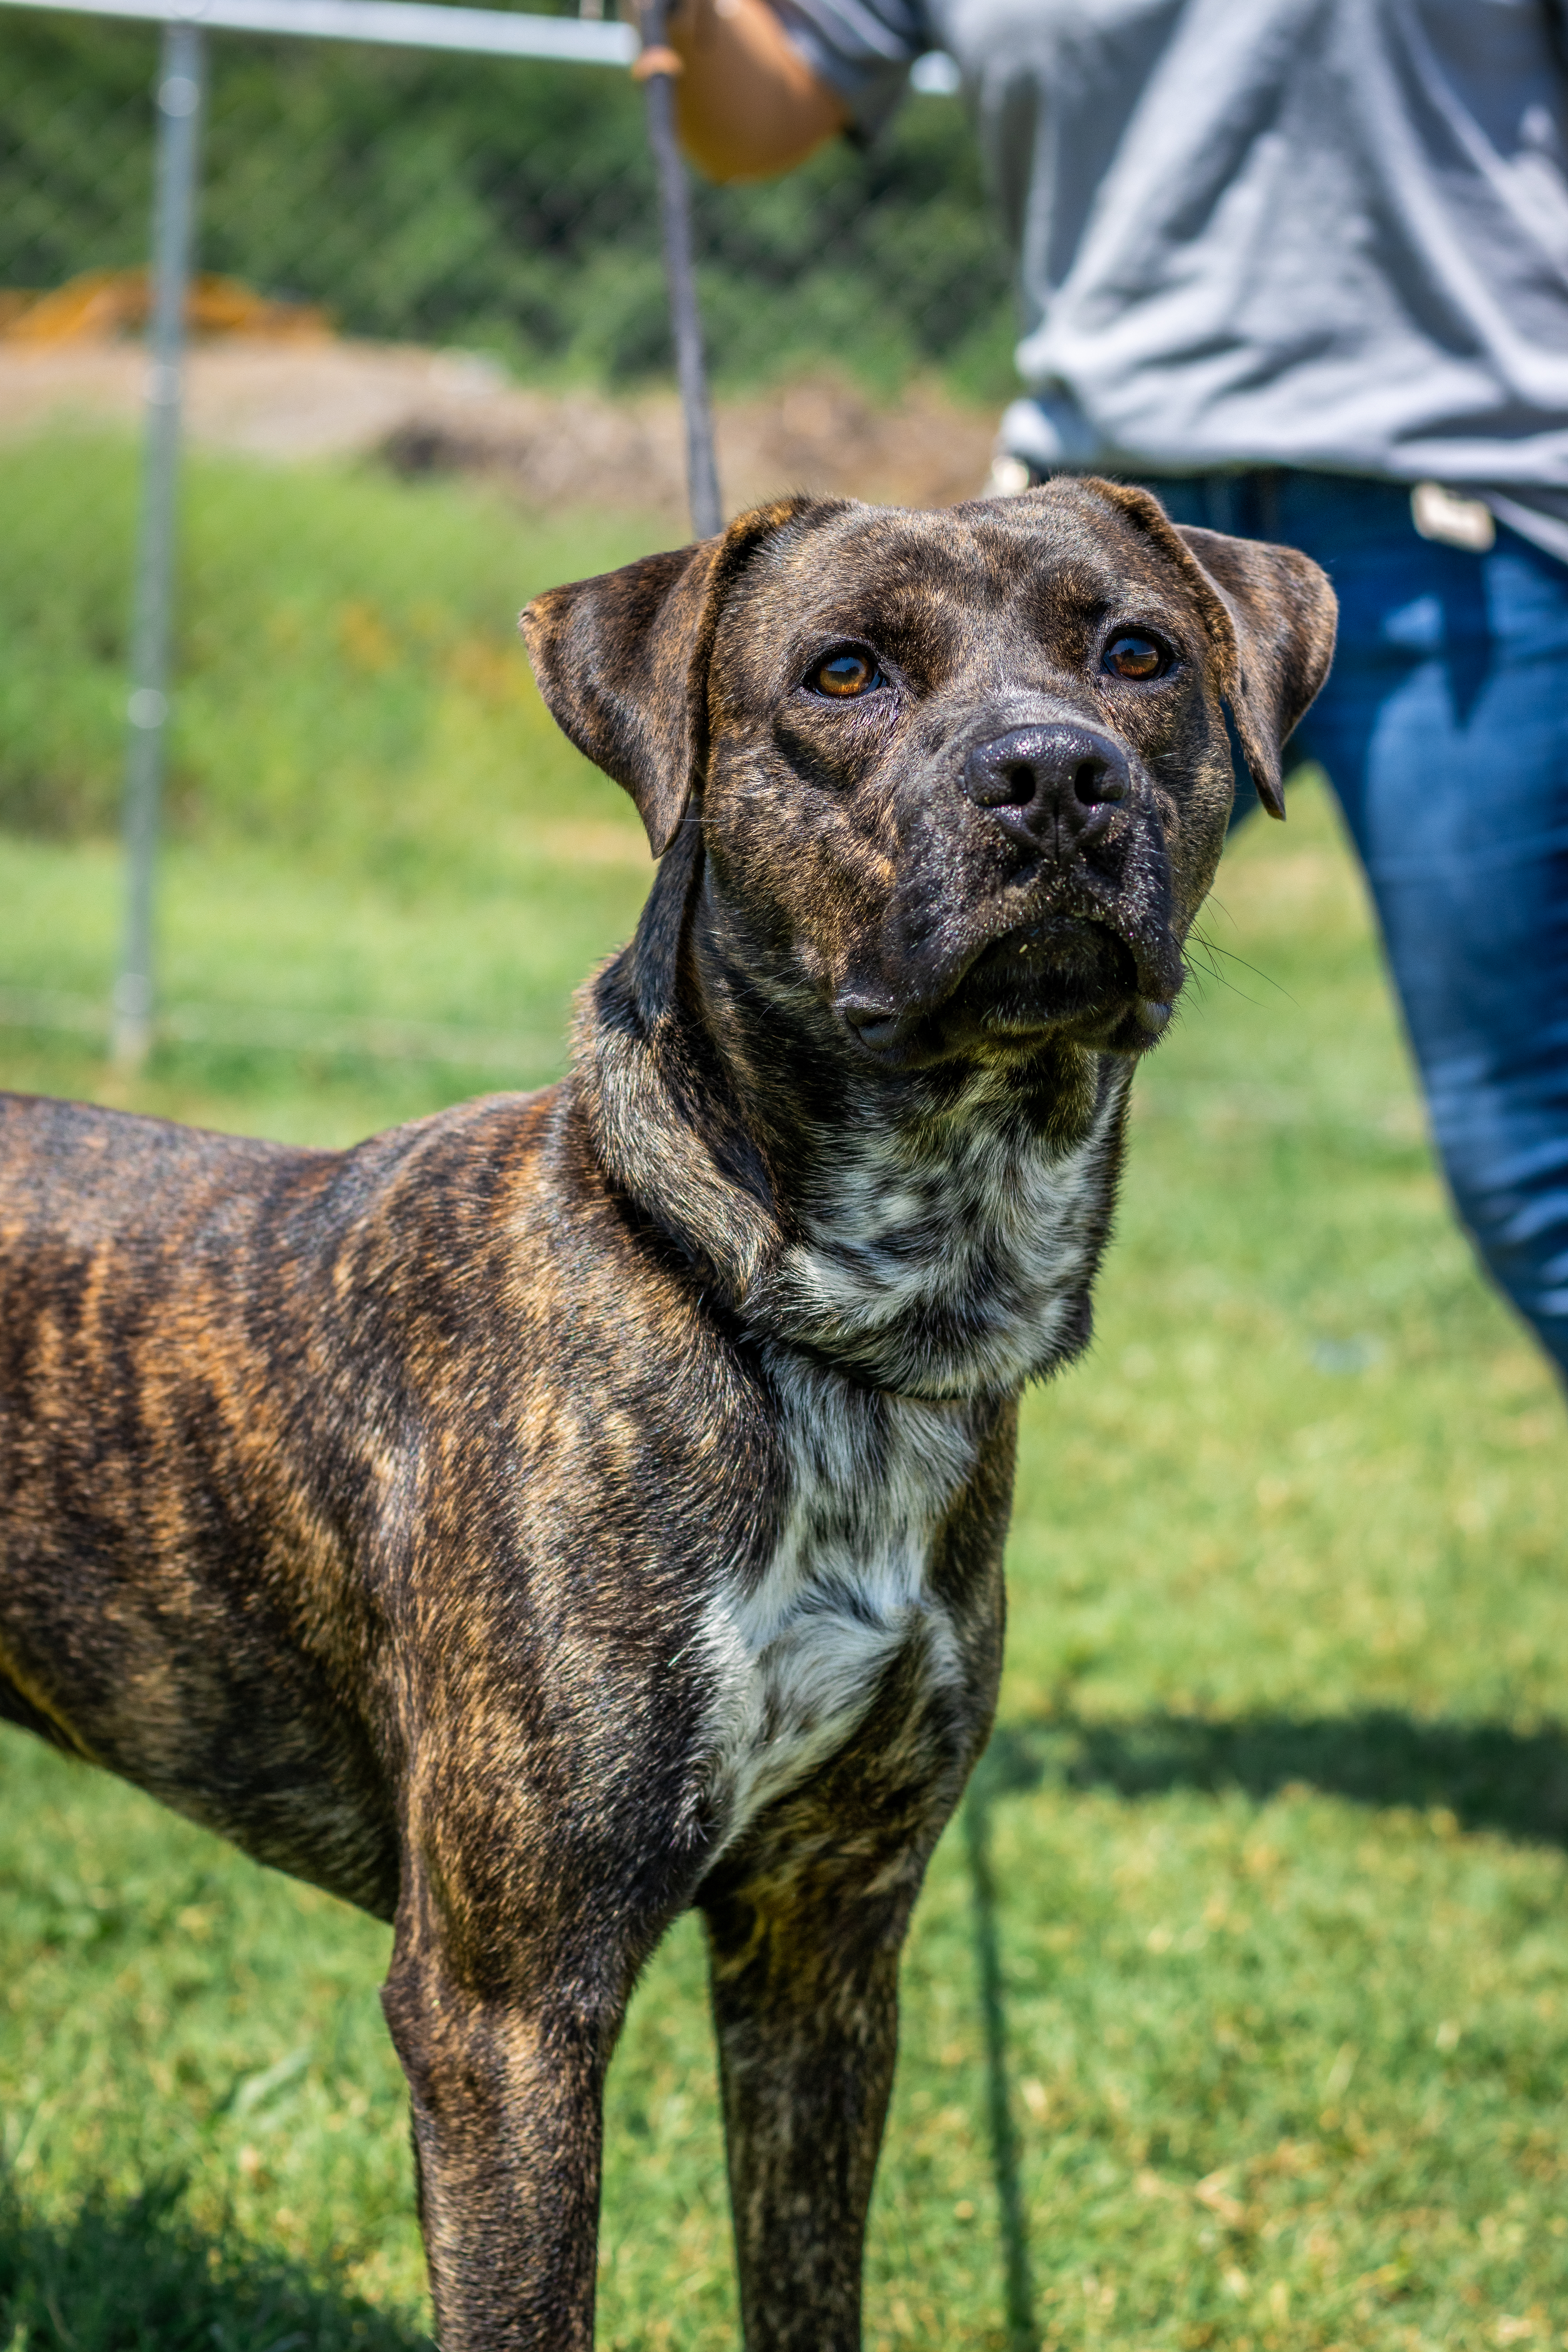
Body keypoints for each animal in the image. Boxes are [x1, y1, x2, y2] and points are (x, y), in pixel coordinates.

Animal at [3, 482, 1335, 2352]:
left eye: (1136, 652)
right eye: (841, 672)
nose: (1051, 773)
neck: (839, 1325)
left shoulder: (821, 1947)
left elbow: (805, 2282)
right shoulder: (505, 2006)